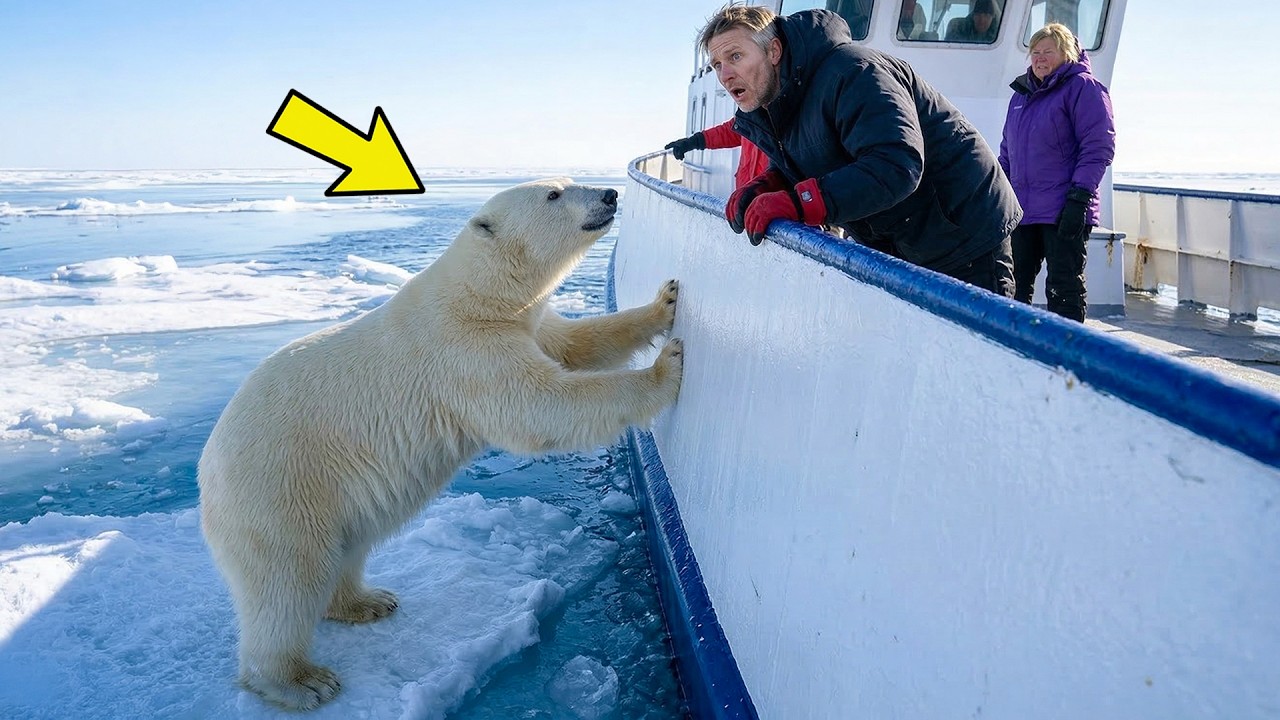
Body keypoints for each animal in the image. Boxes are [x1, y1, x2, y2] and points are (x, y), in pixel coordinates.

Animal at [197, 177, 683, 710]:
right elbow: (539, 406)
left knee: (345, 549)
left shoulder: (525, 326)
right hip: (281, 486)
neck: (474, 297)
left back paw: (367, 601)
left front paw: (665, 302)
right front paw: (666, 367)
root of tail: (207, 469)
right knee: (288, 579)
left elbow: (579, 344)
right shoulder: (463, 351)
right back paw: (299, 680)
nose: (610, 195)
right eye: (554, 194)